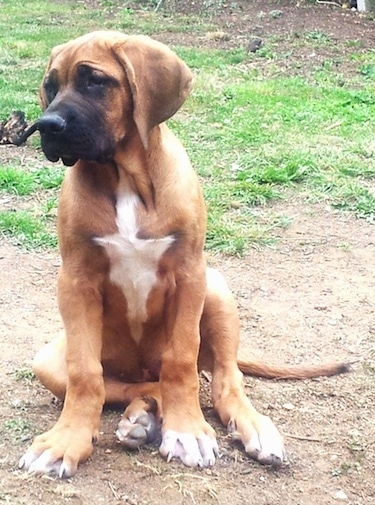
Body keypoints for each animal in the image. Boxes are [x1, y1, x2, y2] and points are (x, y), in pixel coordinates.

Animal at [18, 31, 350, 476]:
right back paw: (141, 419)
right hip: (48, 360)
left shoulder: (189, 274)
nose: (47, 126)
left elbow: (180, 361)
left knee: (222, 381)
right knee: (130, 384)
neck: (124, 178)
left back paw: (252, 429)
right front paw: (65, 440)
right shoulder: (75, 280)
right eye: (51, 87)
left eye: (95, 81)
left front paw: (187, 431)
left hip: (217, 290)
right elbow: (86, 374)